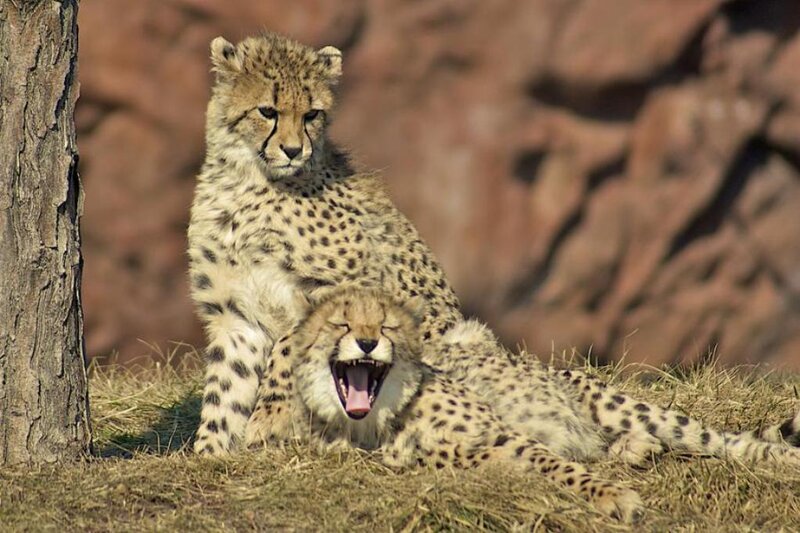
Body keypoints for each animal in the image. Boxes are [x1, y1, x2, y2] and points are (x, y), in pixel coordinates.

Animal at [246, 288, 800, 521]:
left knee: (716, 438)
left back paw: (780, 458)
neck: (381, 418)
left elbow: (560, 468)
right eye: (341, 323)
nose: (366, 342)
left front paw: (613, 498)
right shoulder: (463, 457)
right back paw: (634, 448)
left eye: (385, 325)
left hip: (615, 401)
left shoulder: (503, 435)